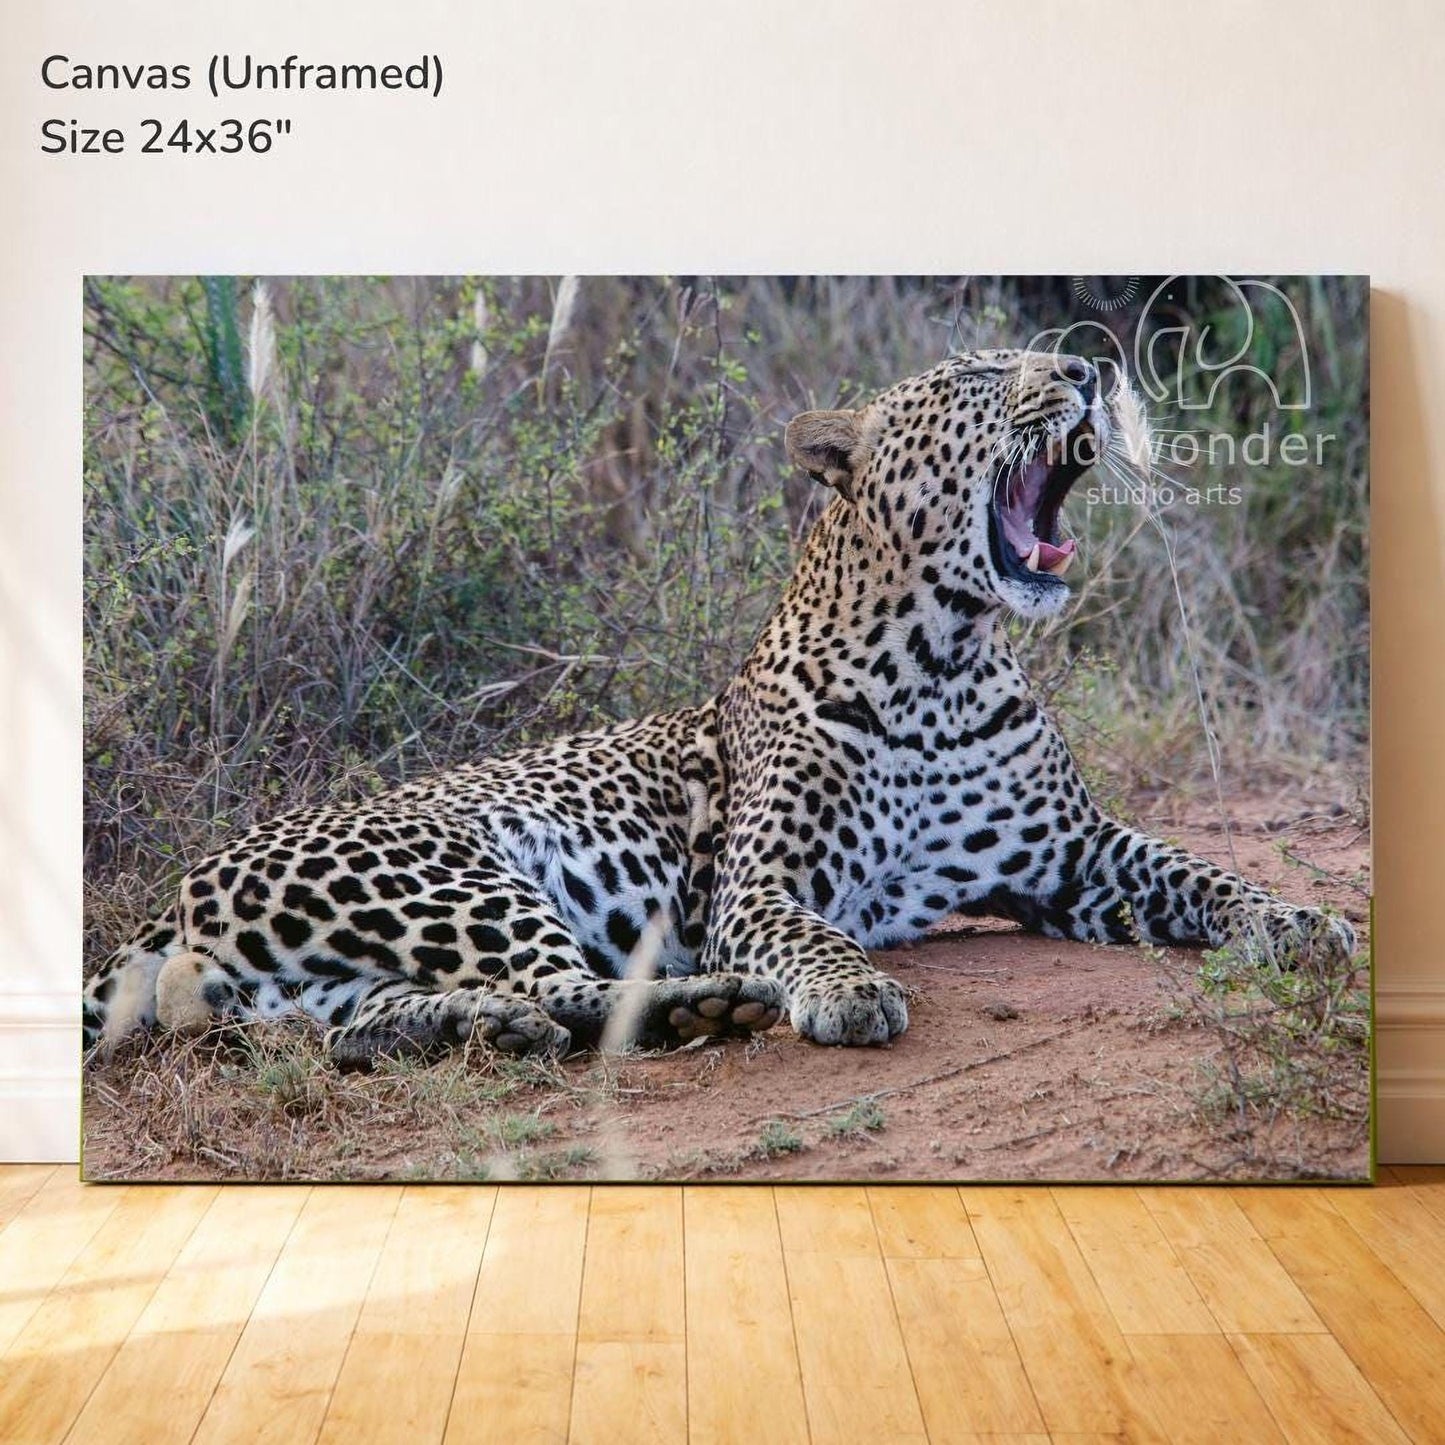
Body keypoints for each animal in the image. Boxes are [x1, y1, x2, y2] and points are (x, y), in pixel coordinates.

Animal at [83, 348, 1355, 1067]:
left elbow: (1199, 871)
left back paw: (469, 1031)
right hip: (452, 873)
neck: (942, 660)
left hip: (332, 972)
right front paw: (847, 988)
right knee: (569, 983)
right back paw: (707, 1006)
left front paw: (1302, 920)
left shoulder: (1072, 854)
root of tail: (176, 891)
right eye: (979, 378)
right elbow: (812, 933)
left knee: (376, 1022)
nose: (1087, 374)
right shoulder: (759, 884)